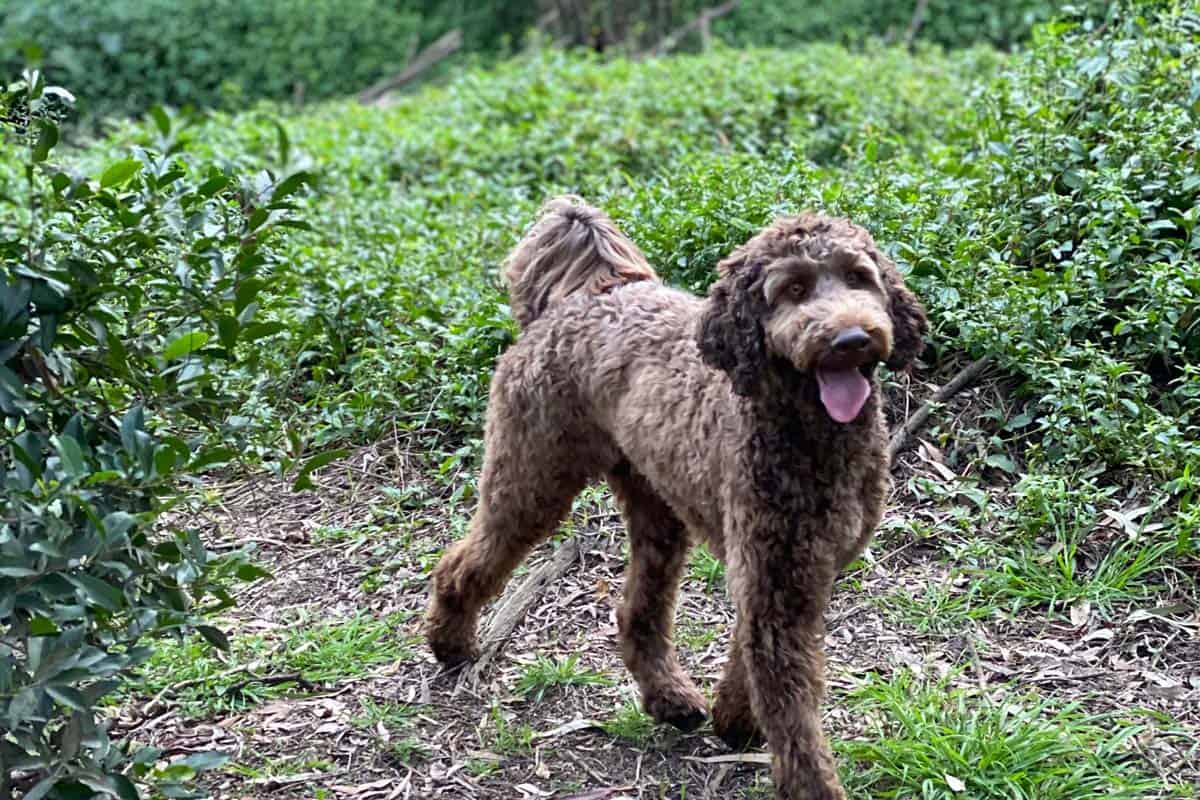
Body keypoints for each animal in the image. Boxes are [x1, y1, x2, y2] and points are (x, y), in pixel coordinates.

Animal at [427, 196, 931, 796]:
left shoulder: (785, 571)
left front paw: (735, 717)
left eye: (859, 277)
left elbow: (747, 652)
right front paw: (809, 782)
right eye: (793, 289)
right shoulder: (777, 581)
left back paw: (670, 698)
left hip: (657, 506)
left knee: (636, 610)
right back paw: (450, 642)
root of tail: (584, 296)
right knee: (464, 560)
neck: (811, 433)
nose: (851, 340)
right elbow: (794, 719)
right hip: (532, 476)